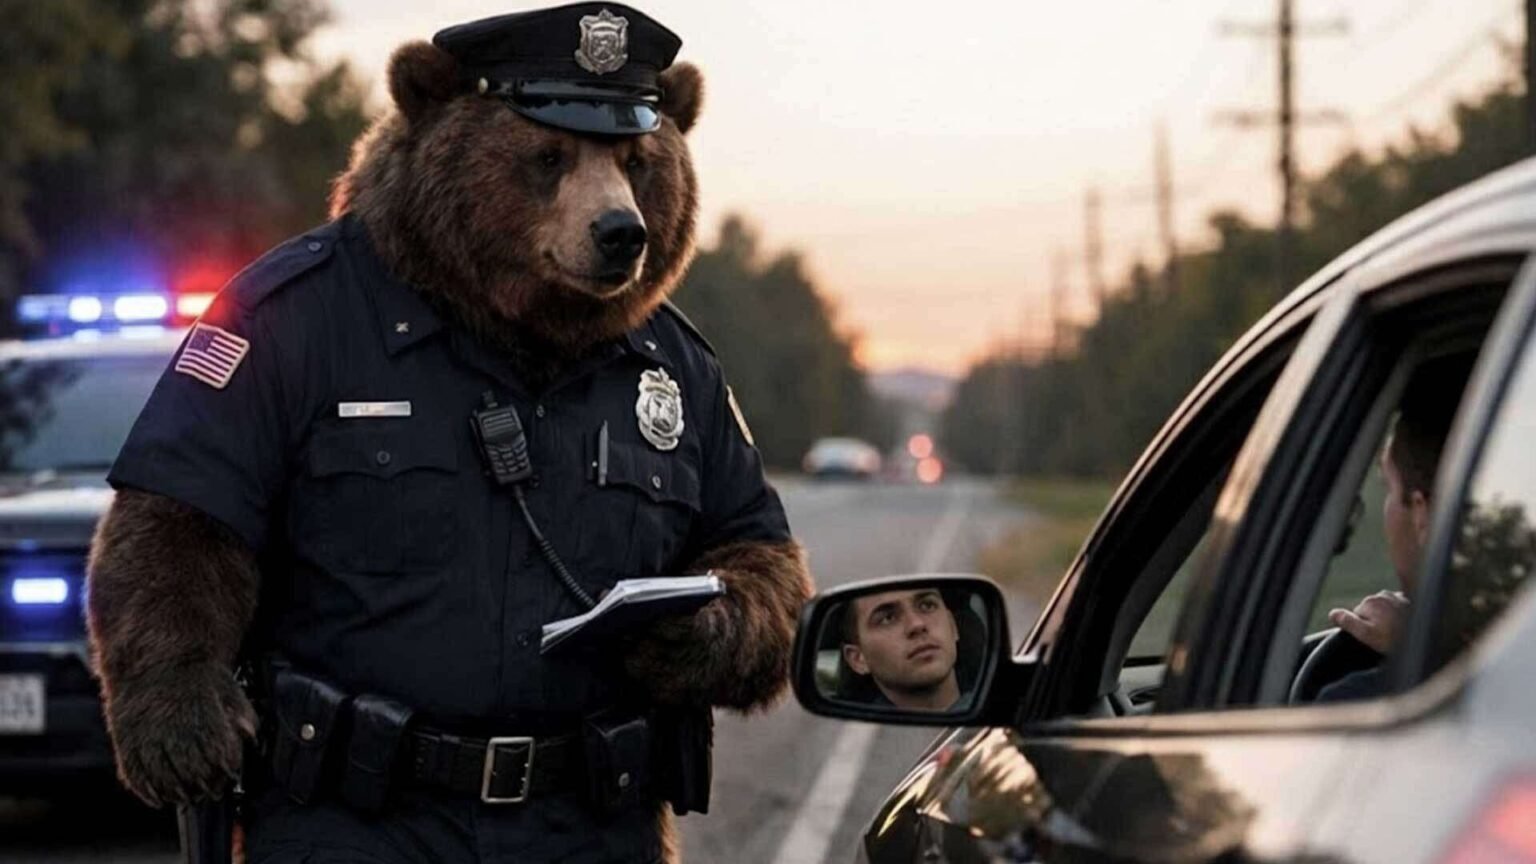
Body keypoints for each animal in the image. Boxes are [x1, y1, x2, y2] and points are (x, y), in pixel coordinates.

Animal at [86, 9, 811, 863]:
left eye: (637, 161)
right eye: (547, 153)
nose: (620, 232)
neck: (520, 330)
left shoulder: (699, 381)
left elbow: (746, 529)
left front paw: (683, 629)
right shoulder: (273, 333)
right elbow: (193, 506)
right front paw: (183, 734)